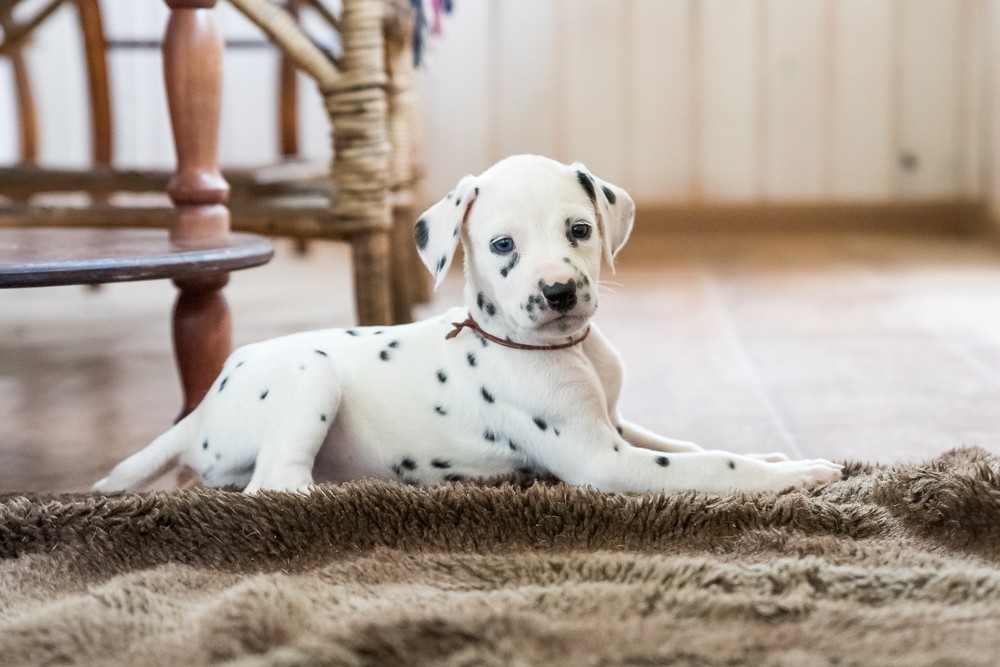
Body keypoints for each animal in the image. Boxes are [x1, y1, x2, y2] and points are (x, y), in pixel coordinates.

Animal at [95, 153, 844, 496]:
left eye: (578, 230)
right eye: (502, 245)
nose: (559, 291)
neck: (560, 347)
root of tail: (202, 406)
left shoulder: (615, 423)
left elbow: (690, 443)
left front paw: (777, 457)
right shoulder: (600, 457)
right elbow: (708, 464)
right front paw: (800, 473)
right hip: (311, 373)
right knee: (275, 482)